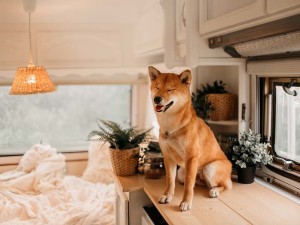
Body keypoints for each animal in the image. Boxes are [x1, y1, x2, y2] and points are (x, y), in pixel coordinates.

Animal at [149, 66, 233, 211]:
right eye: (157, 87)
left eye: (170, 89)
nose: (157, 99)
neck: (172, 127)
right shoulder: (168, 157)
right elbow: (170, 181)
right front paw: (167, 196)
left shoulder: (191, 157)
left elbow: (189, 186)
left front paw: (186, 202)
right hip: (182, 171)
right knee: (195, 181)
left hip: (209, 168)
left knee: (224, 185)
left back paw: (215, 190)